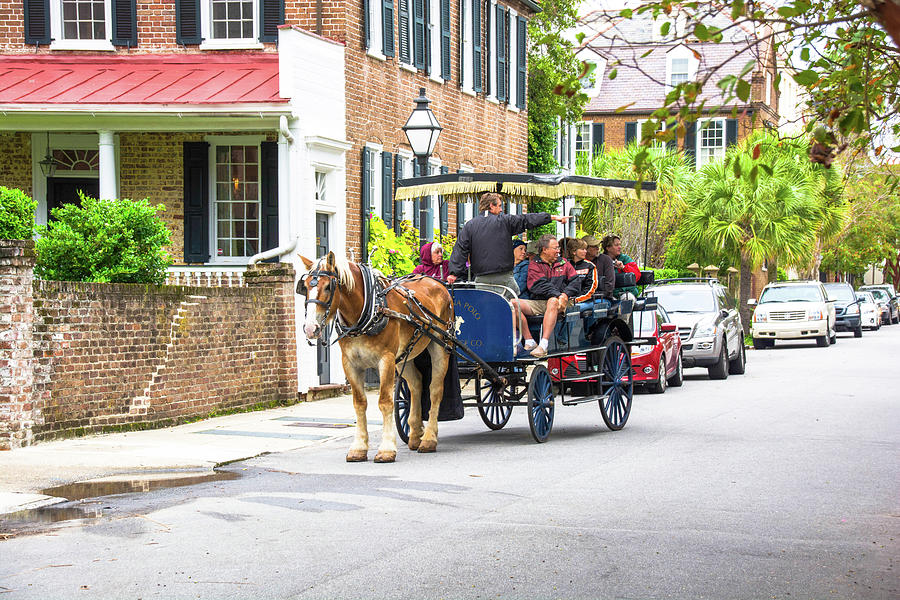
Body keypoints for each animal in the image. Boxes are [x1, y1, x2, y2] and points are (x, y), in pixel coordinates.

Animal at [298, 251, 454, 462]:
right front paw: (358, 447)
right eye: (305, 286)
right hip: (405, 356)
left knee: (435, 390)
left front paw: (387, 449)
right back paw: (415, 435)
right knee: (416, 384)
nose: (310, 328)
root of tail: (438, 283)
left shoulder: (386, 359)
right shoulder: (350, 363)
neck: (366, 312)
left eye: (329, 286)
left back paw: (429, 439)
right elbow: (359, 403)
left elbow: (385, 402)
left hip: (440, 347)